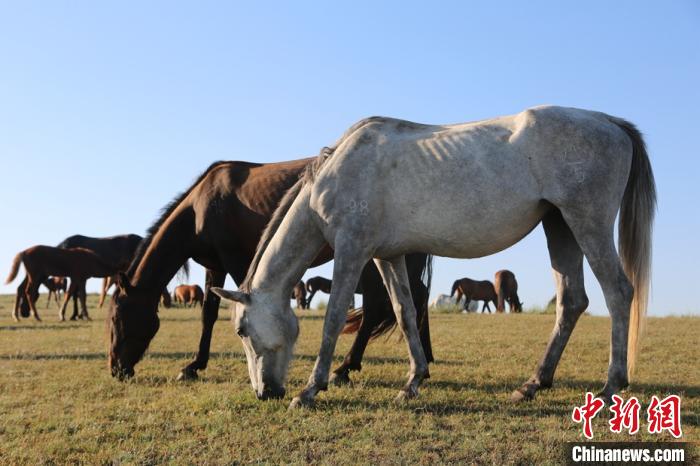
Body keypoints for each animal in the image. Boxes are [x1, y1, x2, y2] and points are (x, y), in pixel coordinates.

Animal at [106, 158, 432, 388]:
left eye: (117, 319)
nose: (116, 369)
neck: (200, 207)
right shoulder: (215, 265)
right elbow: (208, 314)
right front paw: (194, 366)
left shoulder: (237, 261)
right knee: (415, 299)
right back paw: (424, 359)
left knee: (378, 309)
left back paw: (346, 368)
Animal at [212, 106, 656, 408]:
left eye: (241, 331)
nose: (264, 392)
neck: (338, 170)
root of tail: (610, 122)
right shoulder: (387, 257)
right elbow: (404, 311)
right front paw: (413, 381)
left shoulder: (352, 250)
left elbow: (334, 317)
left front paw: (310, 389)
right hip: (560, 227)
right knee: (571, 302)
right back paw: (534, 383)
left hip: (586, 223)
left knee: (618, 293)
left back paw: (612, 386)